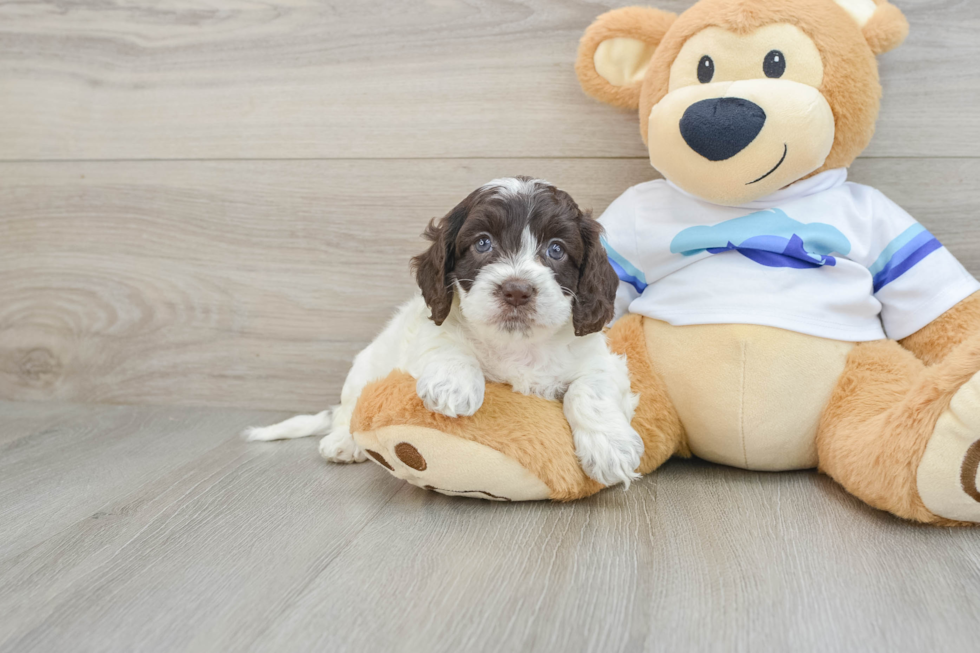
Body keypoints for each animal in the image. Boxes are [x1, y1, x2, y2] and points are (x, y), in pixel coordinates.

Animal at [245, 176, 644, 486]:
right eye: (482, 243)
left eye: (556, 250)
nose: (516, 290)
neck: (516, 344)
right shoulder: (427, 332)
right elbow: (446, 343)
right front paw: (454, 384)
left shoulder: (601, 361)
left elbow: (589, 390)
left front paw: (611, 448)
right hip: (364, 367)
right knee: (350, 408)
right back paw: (344, 441)